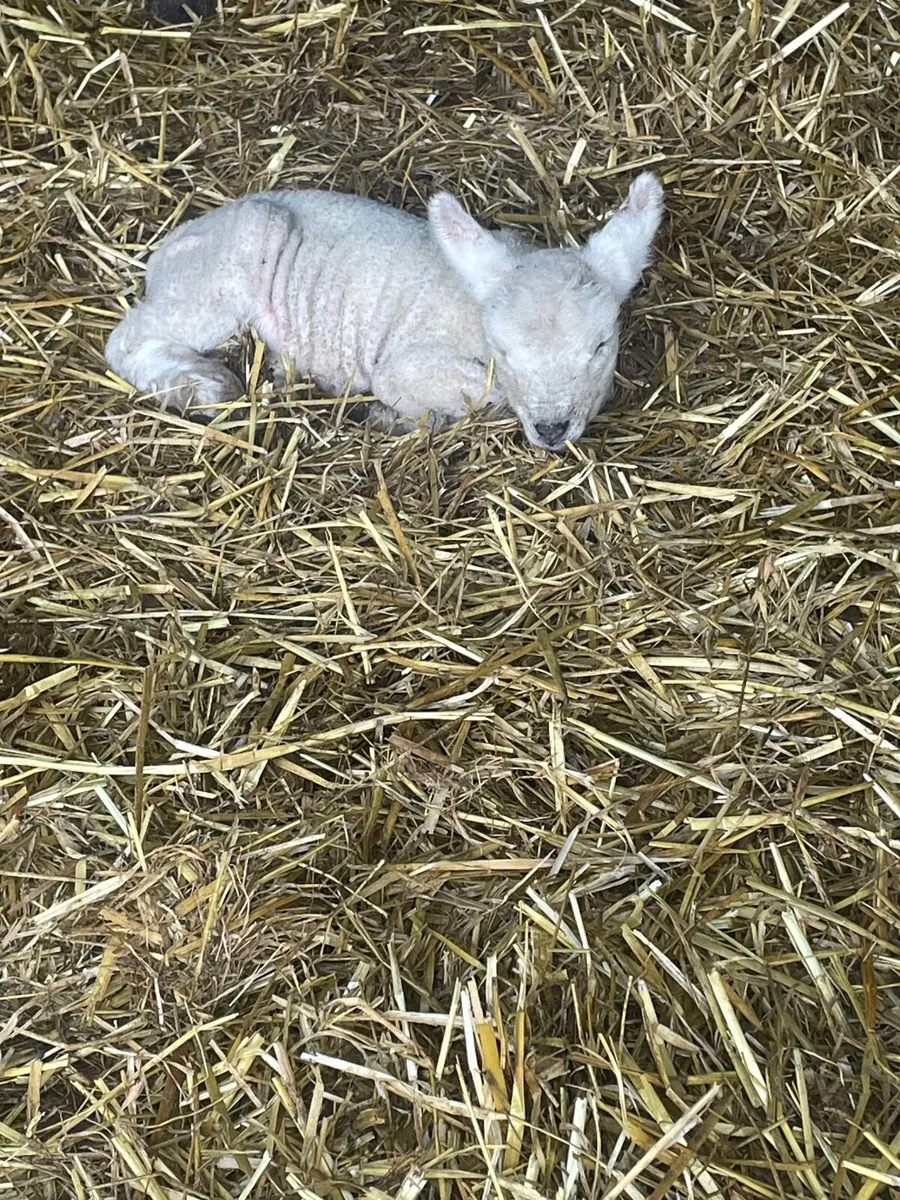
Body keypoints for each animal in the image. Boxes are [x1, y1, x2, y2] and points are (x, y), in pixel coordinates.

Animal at [105, 172, 664, 451]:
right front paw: (392, 416)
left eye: (601, 345)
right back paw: (201, 384)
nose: (551, 430)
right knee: (127, 339)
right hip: (226, 266)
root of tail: (166, 249)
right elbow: (475, 394)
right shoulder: (406, 365)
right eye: (503, 350)